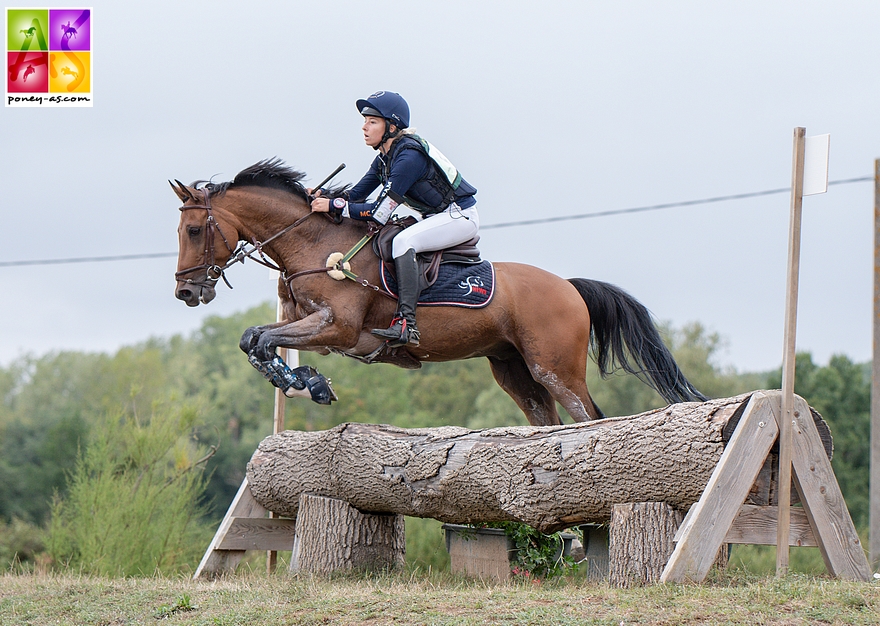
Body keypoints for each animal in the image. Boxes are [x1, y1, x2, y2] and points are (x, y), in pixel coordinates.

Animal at [174, 158, 708, 426]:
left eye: (195, 230)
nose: (186, 292)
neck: (314, 243)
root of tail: (569, 287)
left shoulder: (339, 328)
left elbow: (262, 339)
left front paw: (304, 382)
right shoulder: (317, 329)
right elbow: (253, 338)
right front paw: (307, 381)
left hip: (554, 368)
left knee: (587, 417)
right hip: (513, 370)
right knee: (547, 422)